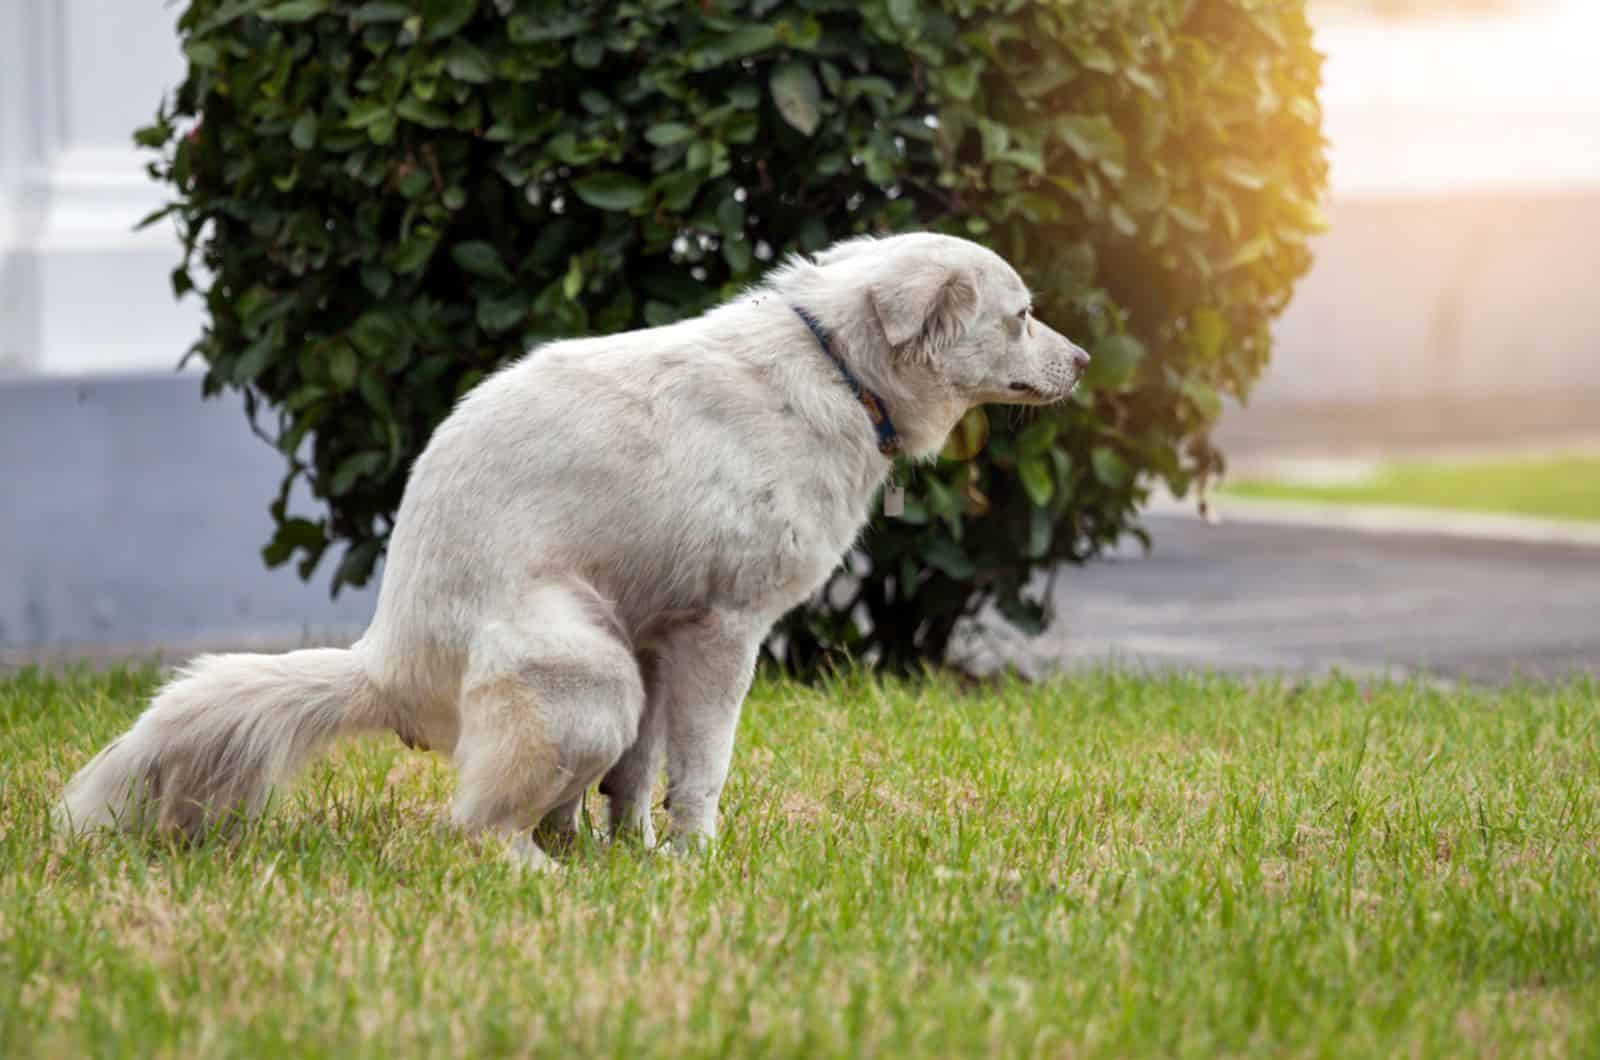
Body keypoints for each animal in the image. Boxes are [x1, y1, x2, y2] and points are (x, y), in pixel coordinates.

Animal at [59, 235, 1088, 871]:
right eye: (1022, 315)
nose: (1083, 363)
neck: (838, 368)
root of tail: (386, 661)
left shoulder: (664, 634)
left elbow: (639, 781)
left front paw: (639, 856)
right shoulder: (723, 634)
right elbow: (702, 771)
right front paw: (695, 863)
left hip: (615, 660)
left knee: (551, 802)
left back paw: (578, 855)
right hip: (592, 680)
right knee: (472, 828)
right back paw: (541, 873)